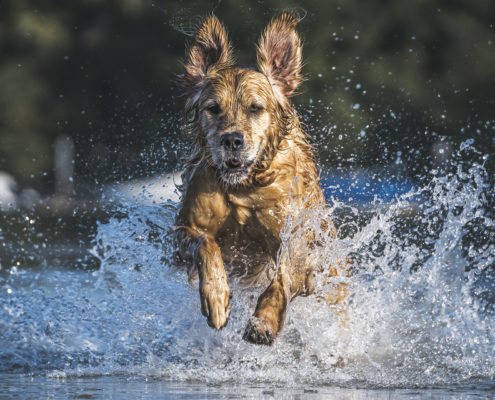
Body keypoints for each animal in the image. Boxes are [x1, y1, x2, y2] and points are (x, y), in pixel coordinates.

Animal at [174, 12, 348, 344]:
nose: (232, 140)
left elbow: (281, 279)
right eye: (212, 108)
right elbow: (205, 246)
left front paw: (263, 321)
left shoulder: (294, 237)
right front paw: (216, 297)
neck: (245, 188)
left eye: (255, 108)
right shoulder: (184, 230)